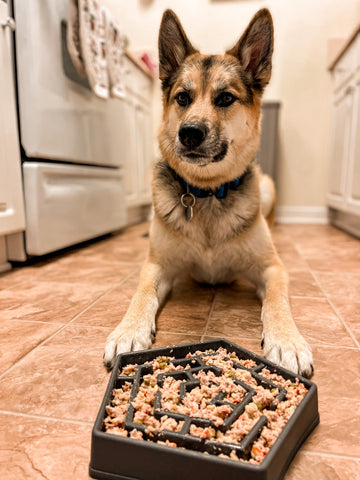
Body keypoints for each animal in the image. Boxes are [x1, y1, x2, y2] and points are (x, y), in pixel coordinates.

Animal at [102, 6, 314, 376]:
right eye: (183, 98)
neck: (206, 193)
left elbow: (277, 301)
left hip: (268, 186)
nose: (189, 133)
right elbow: (140, 293)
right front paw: (127, 330)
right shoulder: (156, 266)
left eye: (225, 98)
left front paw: (288, 340)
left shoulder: (273, 269)